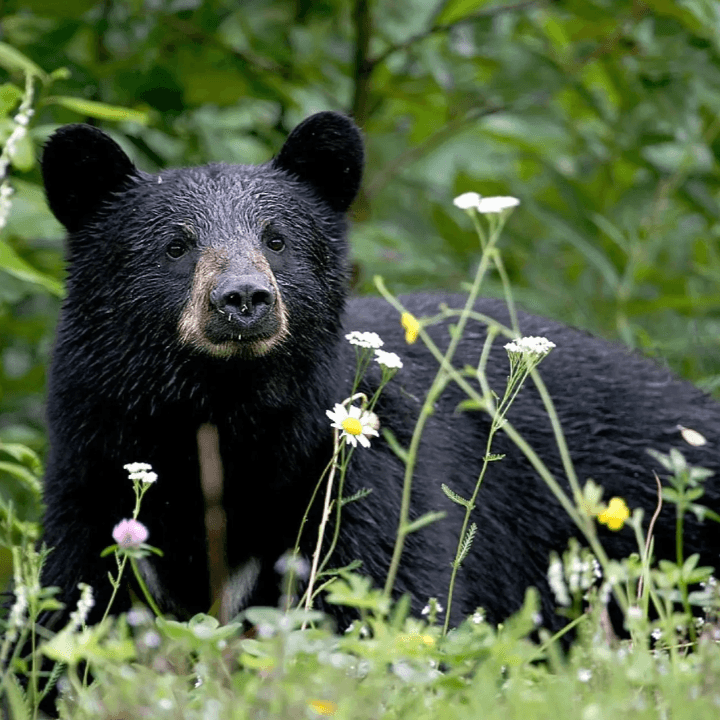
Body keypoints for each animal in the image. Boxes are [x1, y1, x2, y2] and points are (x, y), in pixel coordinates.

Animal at [37, 110, 720, 641]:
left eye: (278, 240)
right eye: (176, 247)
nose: (244, 298)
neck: (224, 415)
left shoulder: (356, 472)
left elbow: (387, 590)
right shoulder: (92, 466)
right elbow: (70, 605)